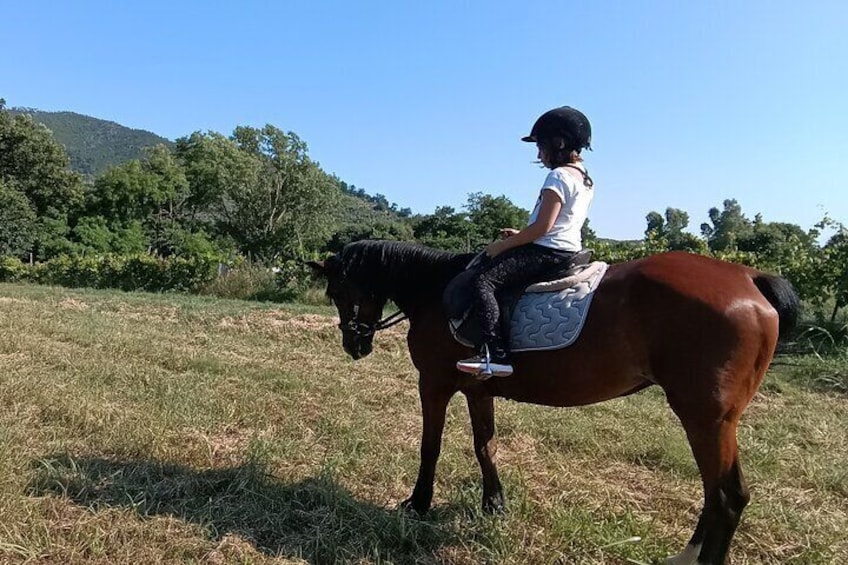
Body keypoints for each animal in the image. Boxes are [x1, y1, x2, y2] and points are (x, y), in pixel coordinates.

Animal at [308, 239, 800, 564]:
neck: (435, 291)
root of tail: (749, 278)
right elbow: (484, 445)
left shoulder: (433, 383)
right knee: (718, 493)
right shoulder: (478, 388)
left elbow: (431, 446)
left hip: (706, 418)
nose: (354, 345)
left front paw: (418, 504)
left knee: (726, 496)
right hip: (713, 421)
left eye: (338, 292)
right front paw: (494, 504)